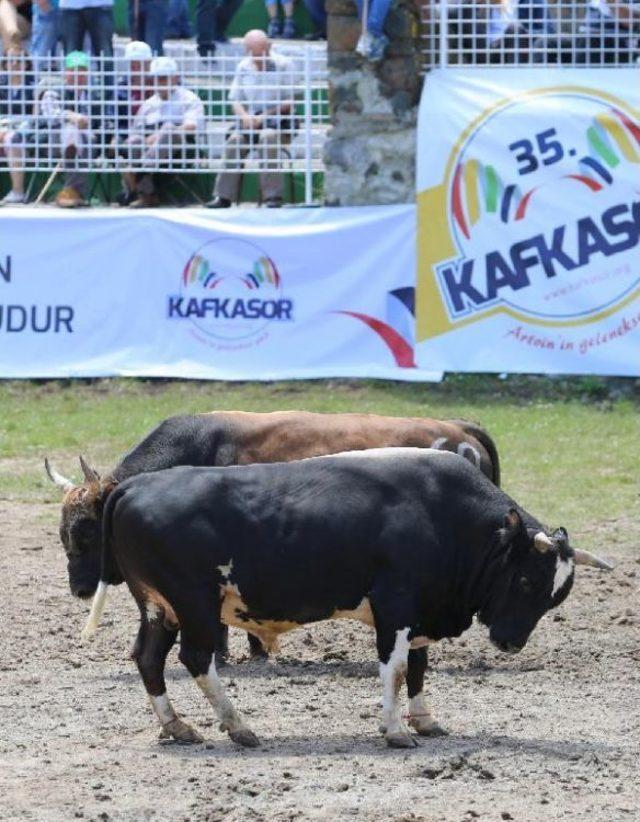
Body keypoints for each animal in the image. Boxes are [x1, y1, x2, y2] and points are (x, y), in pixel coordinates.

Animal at [82, 450, 612, 752]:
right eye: (524, 581)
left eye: (555, 598)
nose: (509, 643)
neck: (444, 514)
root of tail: (134, 485)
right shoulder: (395, 604)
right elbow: (394, 667)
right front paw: (395, 729)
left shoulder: (418, 611)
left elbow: (417, 668)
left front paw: (424, 720)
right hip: (193, 602)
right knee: (195, 658)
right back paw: (239, 727)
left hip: (160, 608)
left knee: (148, 658)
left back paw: (178, 726)